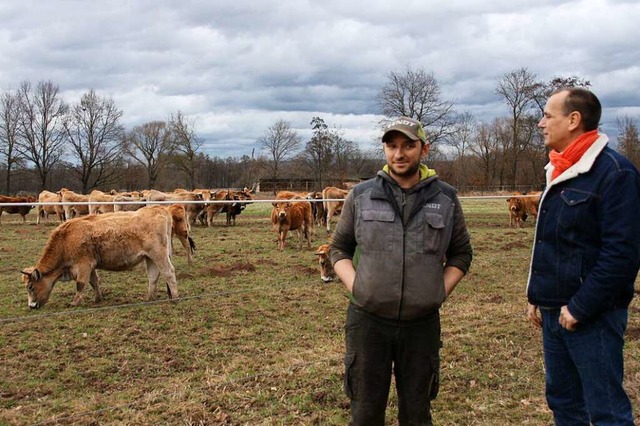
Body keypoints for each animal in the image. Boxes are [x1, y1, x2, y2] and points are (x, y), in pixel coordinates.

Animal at [20, 205, 180, 308]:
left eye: (30, 287)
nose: (31, 306)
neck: (65, 239)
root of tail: (159, 209)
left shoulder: (83, 265)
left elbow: (80, 284)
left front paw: (75, 302)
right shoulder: (90, 266)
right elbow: (94, 282)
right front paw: (98, 298)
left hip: (159, 255)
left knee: (168, 272)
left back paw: (175, 297)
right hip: (150, 258)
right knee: (153, 277)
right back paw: (149, 298)